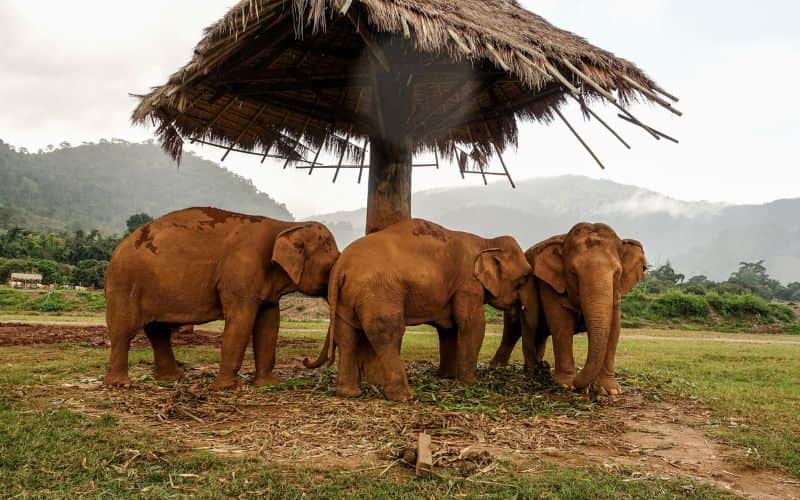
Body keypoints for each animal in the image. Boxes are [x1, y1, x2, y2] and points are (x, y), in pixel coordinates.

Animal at [102, 207, 340, 390]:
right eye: (331, 266)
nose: (305, 360)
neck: (286, 226)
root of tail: (118, 248)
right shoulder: (240, 272)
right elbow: (240, 322)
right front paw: (229, 387)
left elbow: (269, 324)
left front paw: (268, 384)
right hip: (123, 282)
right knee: (124, 330)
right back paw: (119, 384)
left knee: (157, 330)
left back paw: (172, 378)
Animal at [305, 218, 531, 401]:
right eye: (525, 278)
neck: (486, 242)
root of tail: (340, 266)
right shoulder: (468, 284)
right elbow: (471, 325)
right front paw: (468, 383)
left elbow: (448, 329)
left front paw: (447, 376)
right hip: (379, 292)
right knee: (387, 333)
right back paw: (404, 397)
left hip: (345, 298)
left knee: (347, 336)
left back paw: (348, 394)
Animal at [490, 223, 646, 394]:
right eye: (573, 273)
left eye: (617, 273)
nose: (585, 388)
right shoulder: (550, 284)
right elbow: (561, 323)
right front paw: (566, 385)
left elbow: (614, 328)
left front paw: (610, 390)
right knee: (512, 331)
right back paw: (500, 369)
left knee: (539, 334)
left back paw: (536, 371)